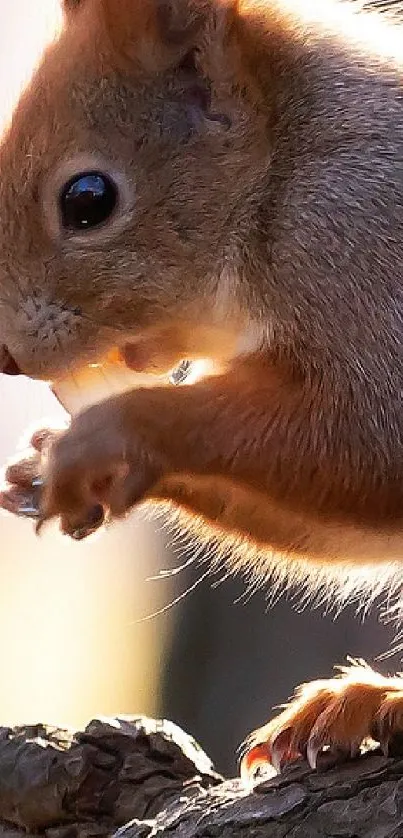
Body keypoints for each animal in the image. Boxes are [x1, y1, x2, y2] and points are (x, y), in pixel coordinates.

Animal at [2, 0, 403, 776]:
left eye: (88, 199)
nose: (3, 353)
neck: (285, 168)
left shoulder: (360, 245)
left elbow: (365, 444)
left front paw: (109, 434)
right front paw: (45, 467)